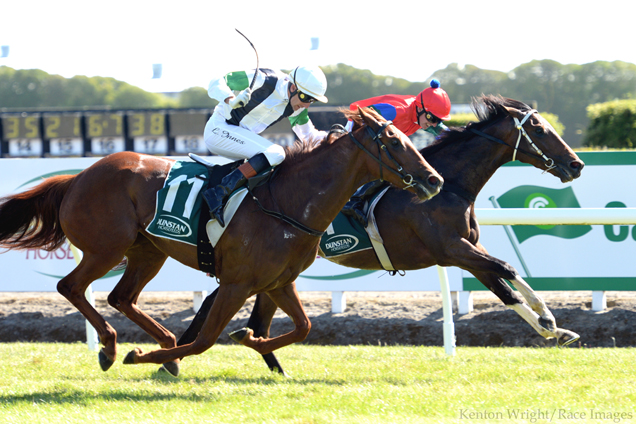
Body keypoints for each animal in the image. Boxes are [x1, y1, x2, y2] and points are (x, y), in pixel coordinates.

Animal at [0, 105, 442, 374]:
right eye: (394, 141)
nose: (434, 180)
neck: (287, 204)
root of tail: (78, 176)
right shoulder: (236, 283)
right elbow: (205, 340)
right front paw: (143, 355)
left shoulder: (278, 282)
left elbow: (304, 327)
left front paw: (250, 338)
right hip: (106, 247)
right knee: (71, 287)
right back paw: (111, 346)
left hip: (147, 251)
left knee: (120, 296)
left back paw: (157, 341)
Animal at [184, 95, 588, 374]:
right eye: (539, 130)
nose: (577, 164)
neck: (451, 186)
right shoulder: (451, 249)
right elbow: (507, 268)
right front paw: (549, 320)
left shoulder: (468, 249)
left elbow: (505, 288)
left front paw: (555, 330)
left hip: (270, 269)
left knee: (244, 315)